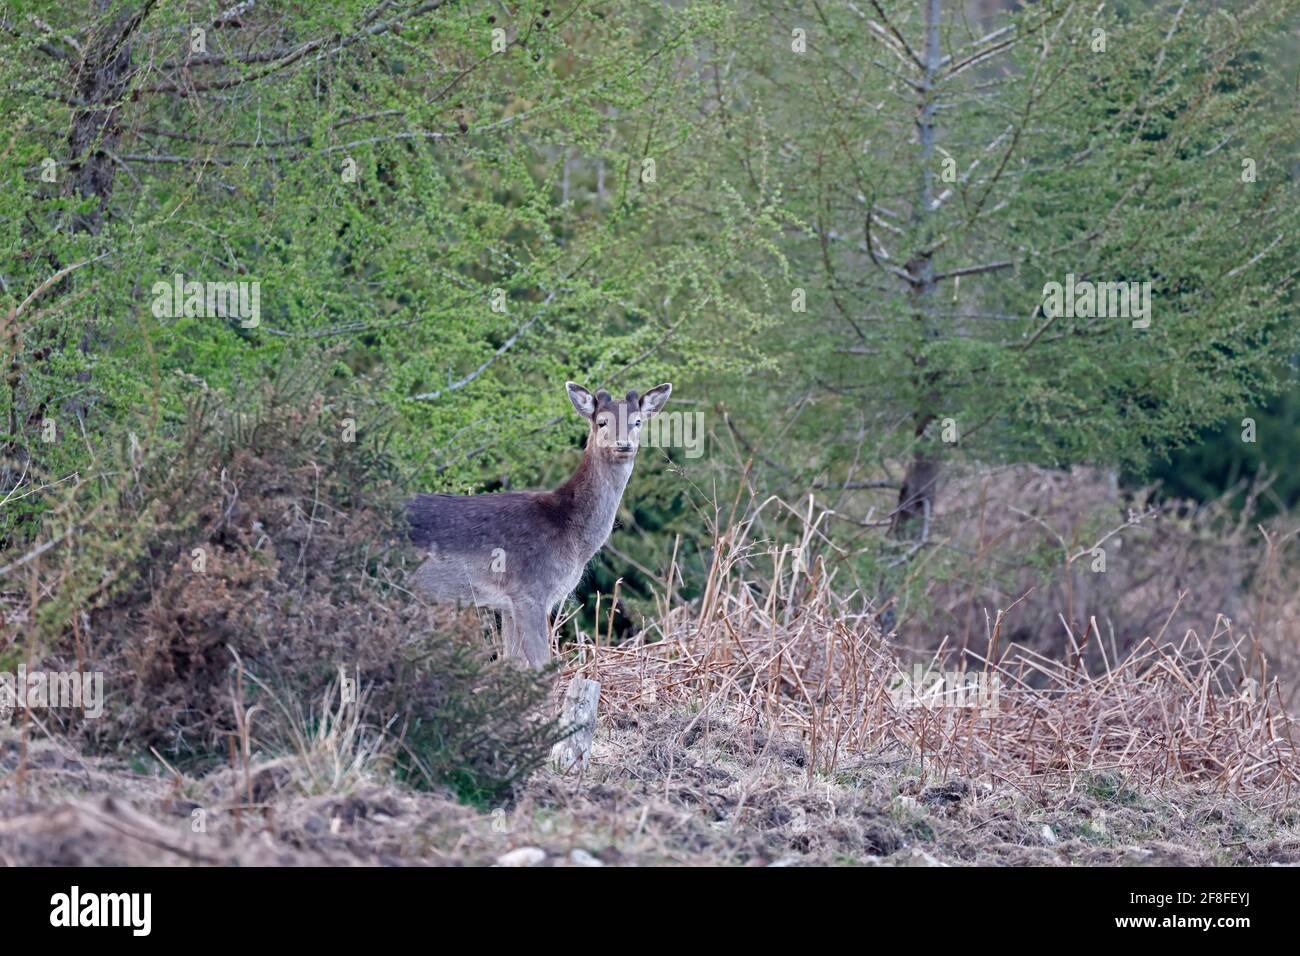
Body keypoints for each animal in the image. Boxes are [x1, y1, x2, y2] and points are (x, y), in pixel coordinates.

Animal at [407, 381, 672, 669]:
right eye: (602, 422)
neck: (572, 535)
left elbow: (513, 662)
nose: (623, 444)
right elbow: (542, 663)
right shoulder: (530, 590)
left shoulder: (508, 603)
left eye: (638, 421)